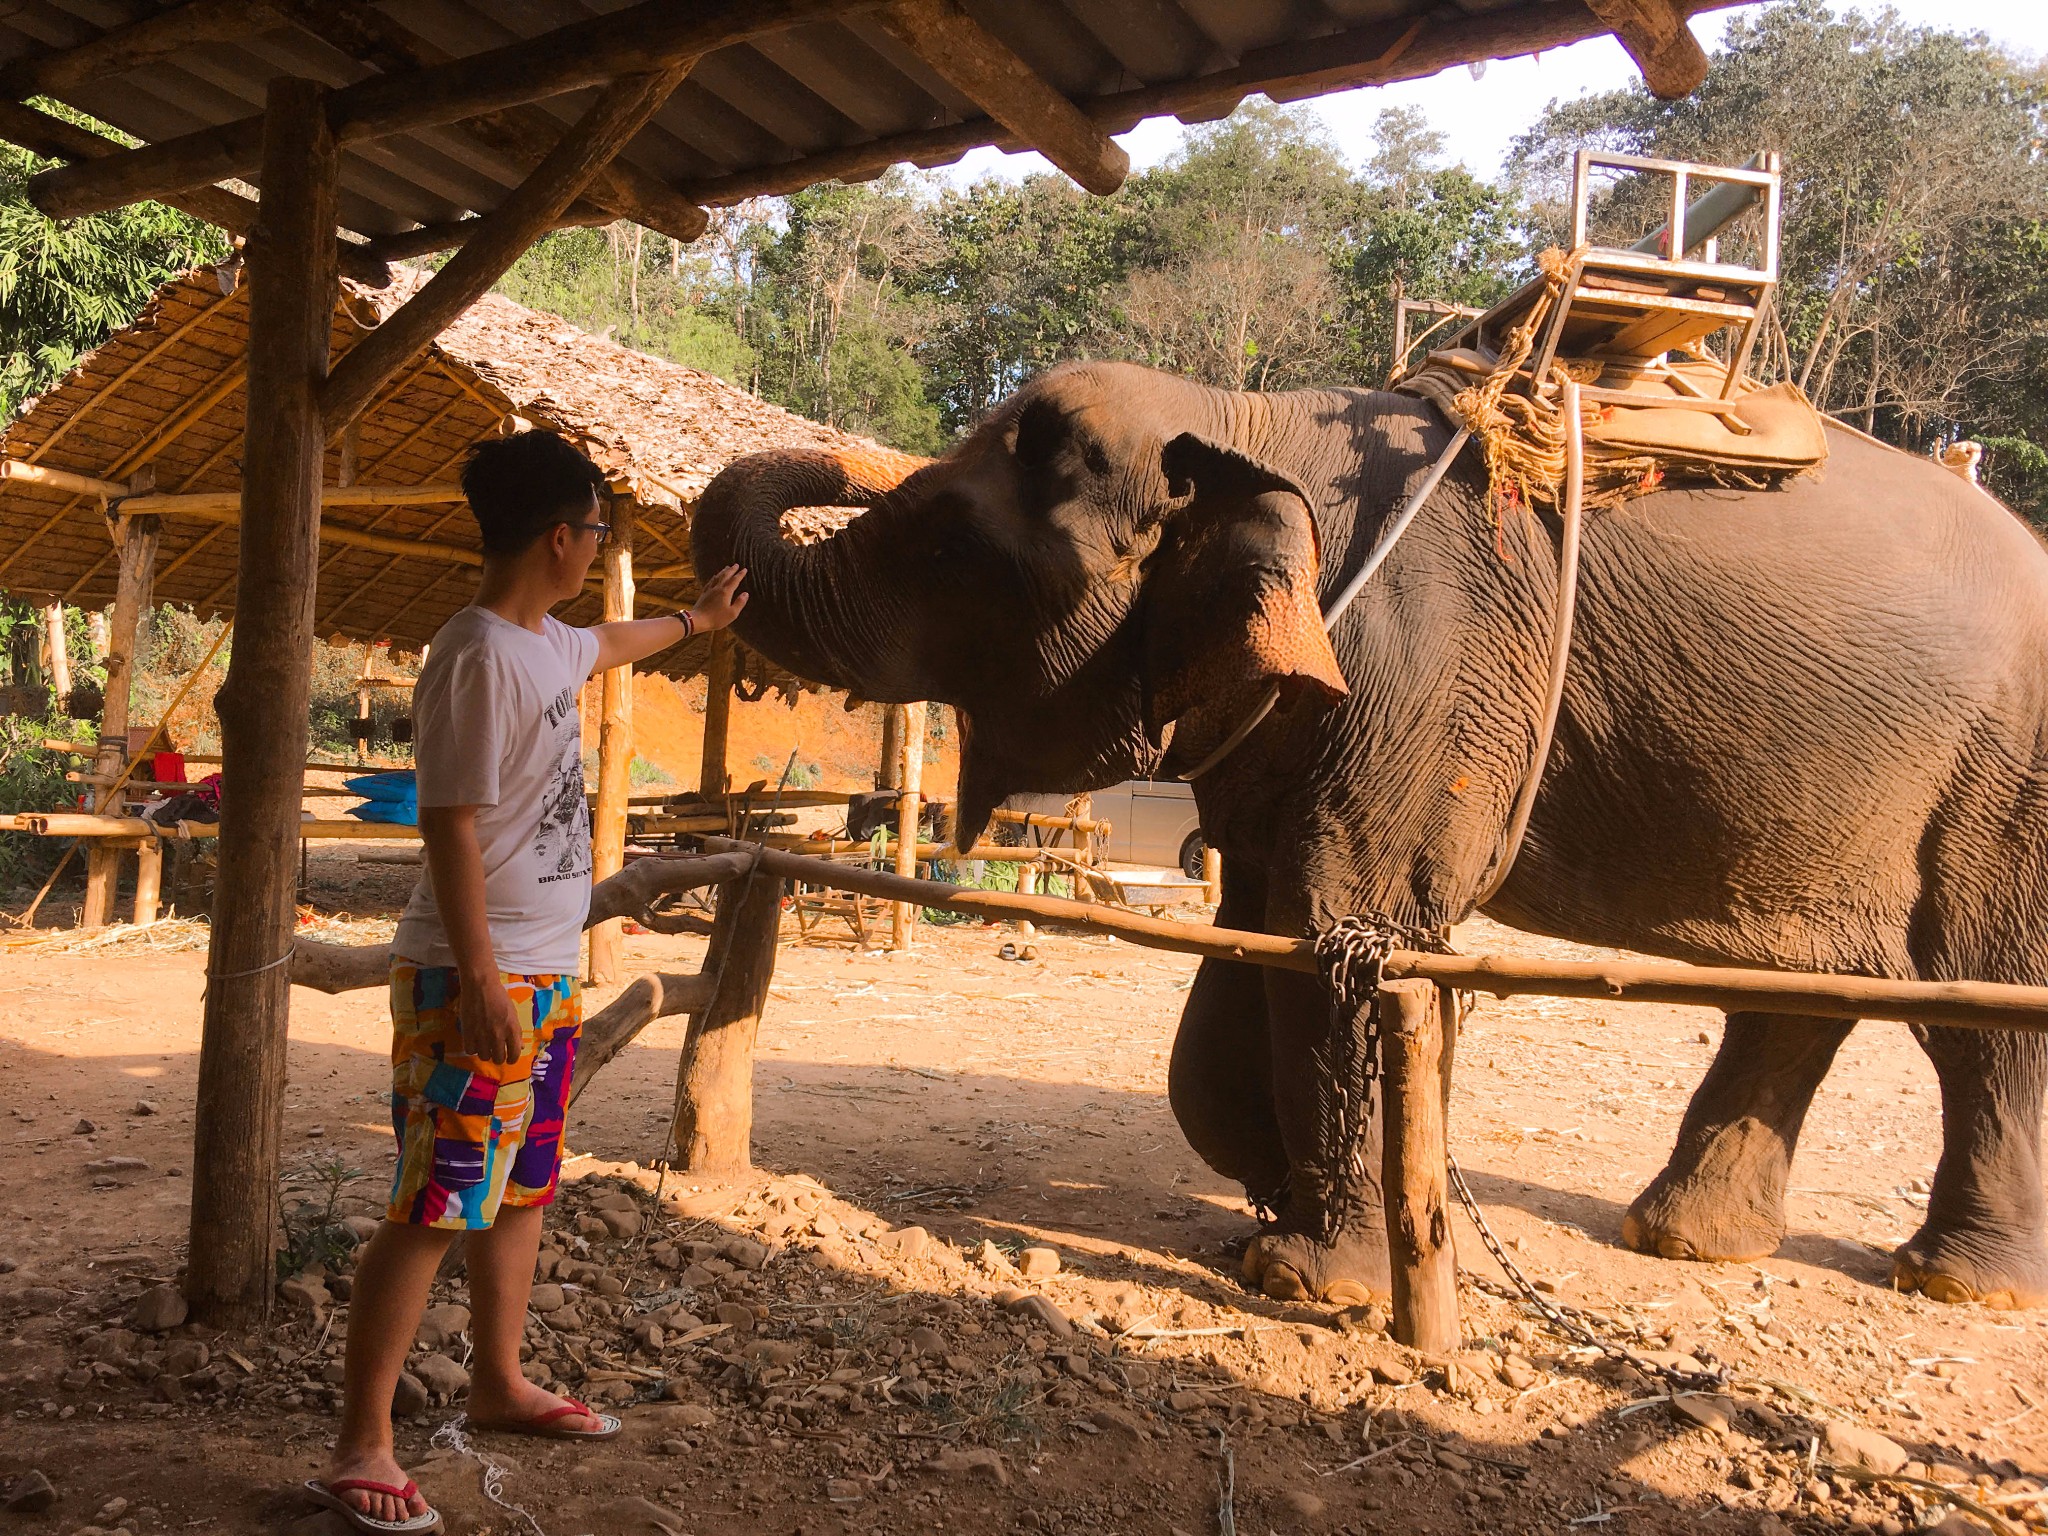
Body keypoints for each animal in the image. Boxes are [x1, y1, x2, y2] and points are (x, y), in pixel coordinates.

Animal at [692, 360, 2048, 1310]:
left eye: (944, 541)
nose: (849, 459)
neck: (1248, 424)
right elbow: (1257, 937)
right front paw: (1266, 1203)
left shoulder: (1412, 682)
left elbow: (1345, 933)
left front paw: (1306, 1278)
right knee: (1803, 990)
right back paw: (1679, 1239)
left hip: (2007, 780)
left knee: (1977, 1004)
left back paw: (1951, 1279)